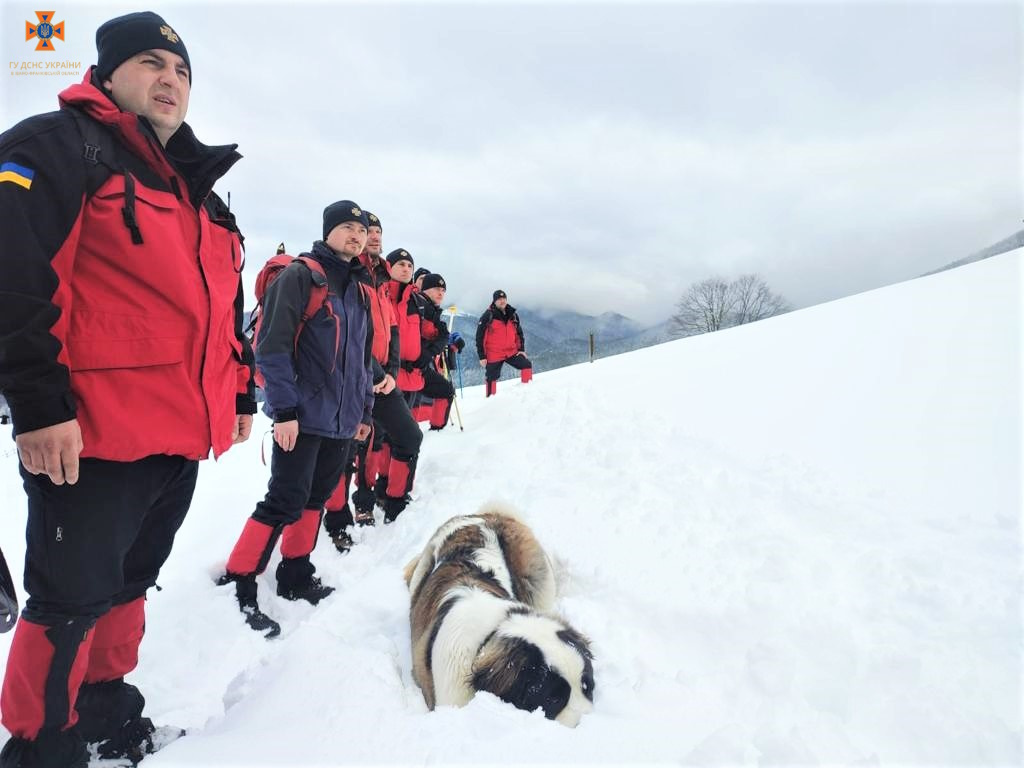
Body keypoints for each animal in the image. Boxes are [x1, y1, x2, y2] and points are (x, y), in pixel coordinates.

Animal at [399, 505, 593, 729]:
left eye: (588, 686)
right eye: (553, 699)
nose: (590, 724)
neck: (491, 631)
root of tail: (482, 515)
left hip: (539, 578)